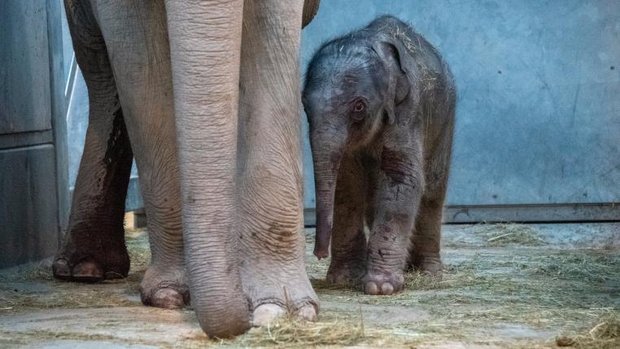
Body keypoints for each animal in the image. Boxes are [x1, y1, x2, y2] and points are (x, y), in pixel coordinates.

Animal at [54, 0, 320, 338]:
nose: (244, 320)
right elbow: (141, 64)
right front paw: (171, 294)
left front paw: (281, 311)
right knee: (99, 71)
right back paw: (85, 268)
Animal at [304, 15, 456, 294]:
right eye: (304, 105)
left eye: (359, 106)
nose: (319, 254)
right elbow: (347, 184)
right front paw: (344, 279)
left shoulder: (408, 110)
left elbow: (402, 178)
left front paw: (381, 287)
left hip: (445, 120)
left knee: (432, 193)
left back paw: (429, 273)